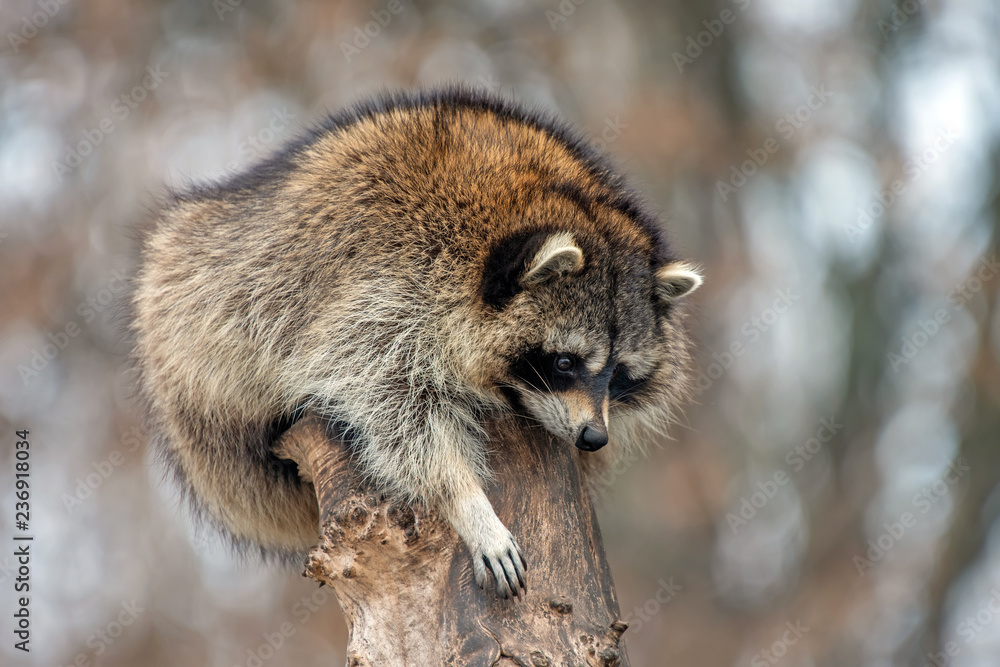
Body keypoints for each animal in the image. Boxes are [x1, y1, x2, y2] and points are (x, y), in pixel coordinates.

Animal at [129, 87, 700, 600]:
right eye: (564, 362)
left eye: (619, 375)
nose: (594, 438)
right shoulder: (385, 292)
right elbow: (394, 409)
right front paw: (466, 501)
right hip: (195, 335)